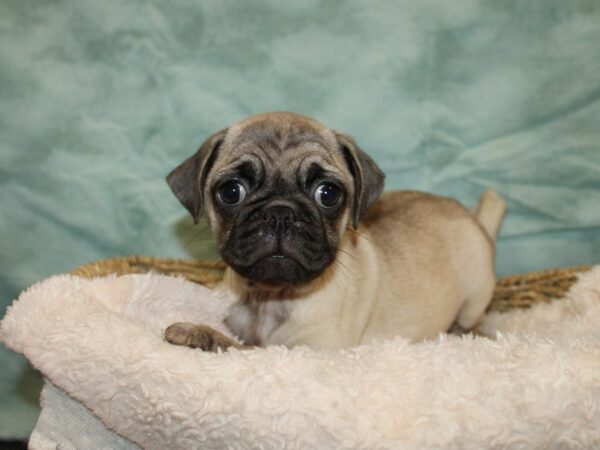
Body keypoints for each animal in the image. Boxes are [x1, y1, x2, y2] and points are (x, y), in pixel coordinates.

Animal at [164, 112, 506, 352]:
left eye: (327, 194)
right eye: (231, 192)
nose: (280, 213)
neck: (270, 296)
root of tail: (470, 215)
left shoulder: (311, 350)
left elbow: (248, 349)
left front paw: (198, 333)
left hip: (475, 296)